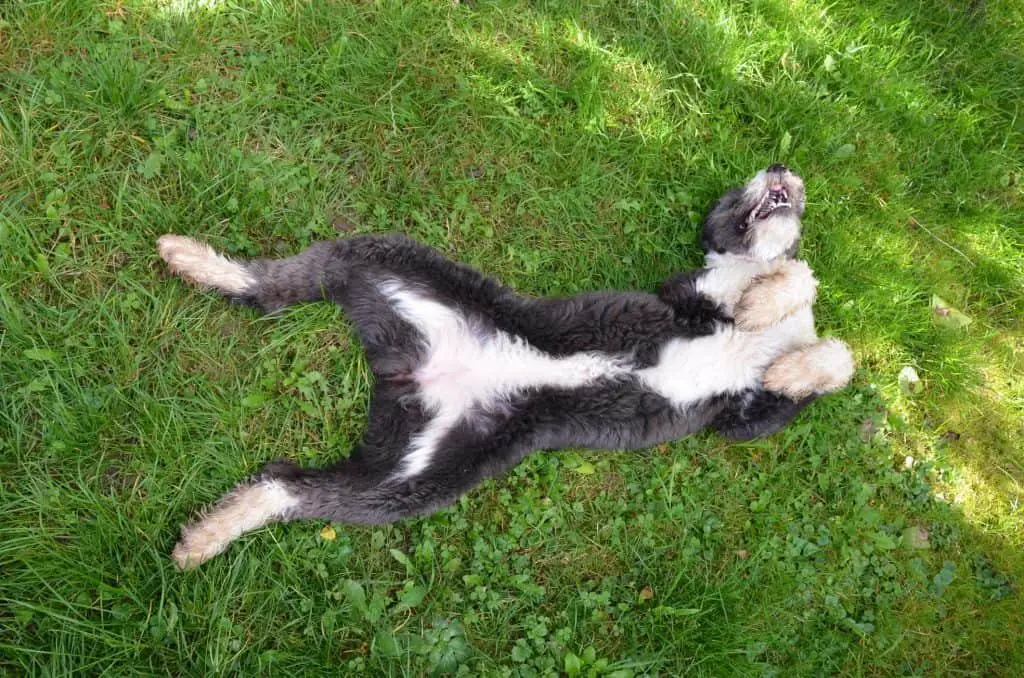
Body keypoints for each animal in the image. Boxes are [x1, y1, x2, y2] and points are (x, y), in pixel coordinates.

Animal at [155, 164, 851, 569]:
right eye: (735, 192)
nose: (780, 166)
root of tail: (411, 376)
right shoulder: (690, 297)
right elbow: (801, 293)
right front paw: (770, 307)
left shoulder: (745, 417)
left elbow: (827, 348)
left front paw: (789, 356)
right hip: (383, 261)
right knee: (266, 289)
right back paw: (191, 257)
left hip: (413, 473)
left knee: (287, 479)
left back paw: (206, 535)